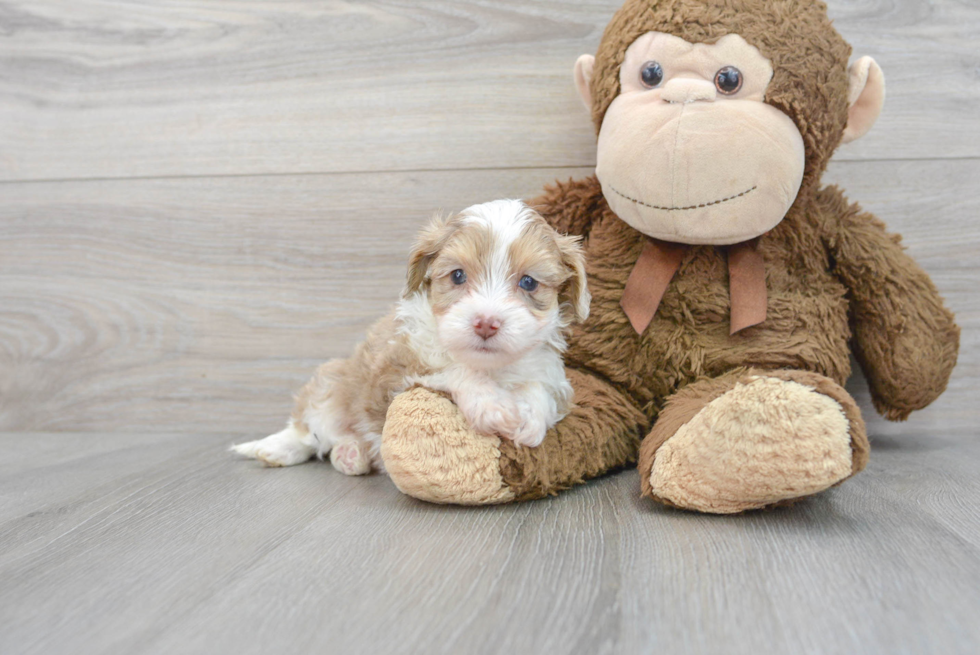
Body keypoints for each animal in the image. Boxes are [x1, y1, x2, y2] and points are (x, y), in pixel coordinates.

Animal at [230, 197, 588, 474]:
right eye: (458, 276)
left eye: (528, 282)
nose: (486, 323)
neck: (491, 367)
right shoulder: (393, 370)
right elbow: (453, 370)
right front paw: (491, 405)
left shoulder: (550, 374)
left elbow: (540, 389)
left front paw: (529, 417)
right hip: (331, 382)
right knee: (309, 430)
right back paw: (279, 448)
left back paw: (351, 453)